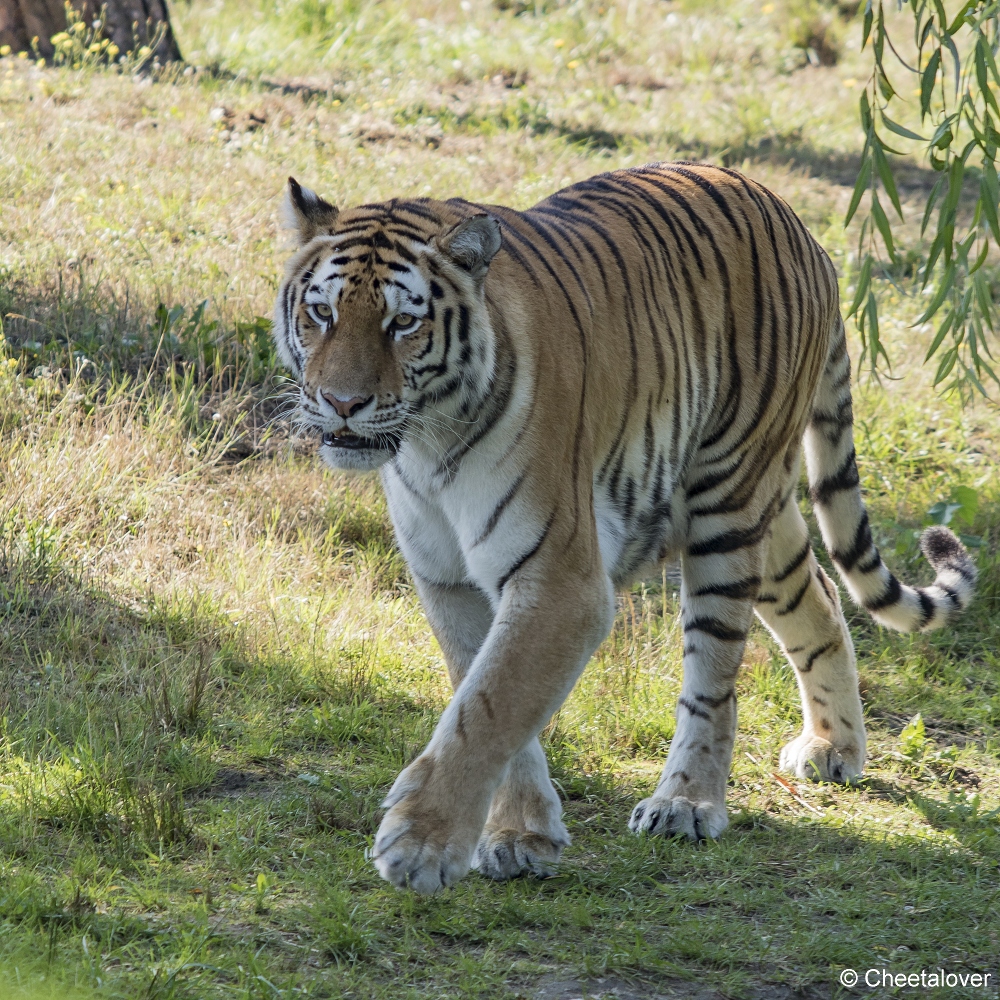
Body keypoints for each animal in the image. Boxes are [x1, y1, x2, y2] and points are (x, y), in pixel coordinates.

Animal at [274, 160, 976, 896]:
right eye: (321, 313)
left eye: (403, 322)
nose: (341, 402)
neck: (428, 445)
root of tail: (799, 224)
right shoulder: (449, 581)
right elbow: (488, 697)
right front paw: (521, 836)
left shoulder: (560, 582)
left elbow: (487, 707)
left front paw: (420, 844)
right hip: (767, 511)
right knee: (821, 597)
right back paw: (833, 747)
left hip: (728, 507)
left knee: (714, 676)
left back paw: (686, 803)